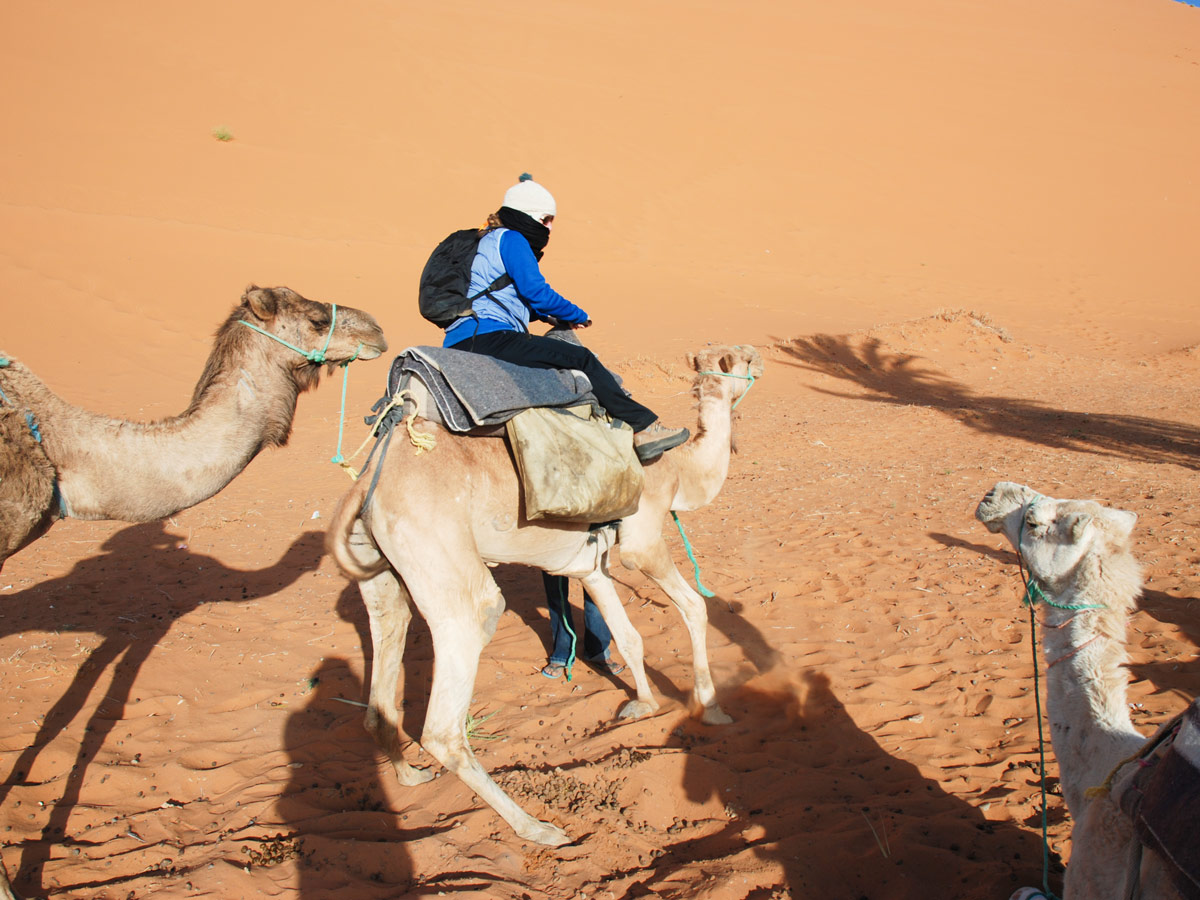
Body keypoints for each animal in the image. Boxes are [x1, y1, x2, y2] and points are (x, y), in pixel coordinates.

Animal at [324, 343, 763, 844]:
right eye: (742, 359)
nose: (759, 356)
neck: (681, 472)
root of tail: (366, 483)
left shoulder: (588, 565)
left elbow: (629, 637)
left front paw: (644, 705)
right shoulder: (643, 541)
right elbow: (694, 607)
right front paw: (711, 709)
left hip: (381, 572)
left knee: (385, 660)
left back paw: (410, 776)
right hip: (442, 557)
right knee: (445, 720)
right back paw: (539, 829)